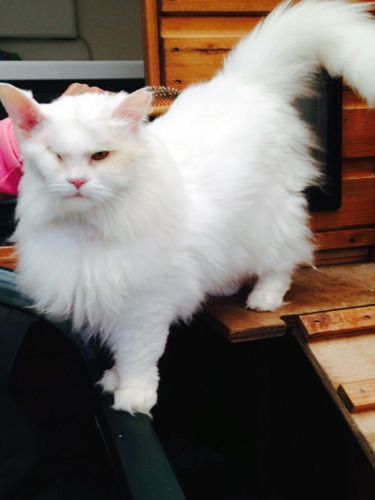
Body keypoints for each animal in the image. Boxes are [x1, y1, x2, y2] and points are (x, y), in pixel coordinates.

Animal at [0, 0, 375, 414]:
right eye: (56, 156)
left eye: (100, 156)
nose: (77, 182)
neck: (86, 227)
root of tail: (243, 83)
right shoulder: (104, 299)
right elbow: (119, 356)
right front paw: (113, 380)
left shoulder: (143, 307)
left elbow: (137, 355)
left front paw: (134, 395)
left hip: (270, 217)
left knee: (283, 260)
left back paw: (264, 298)